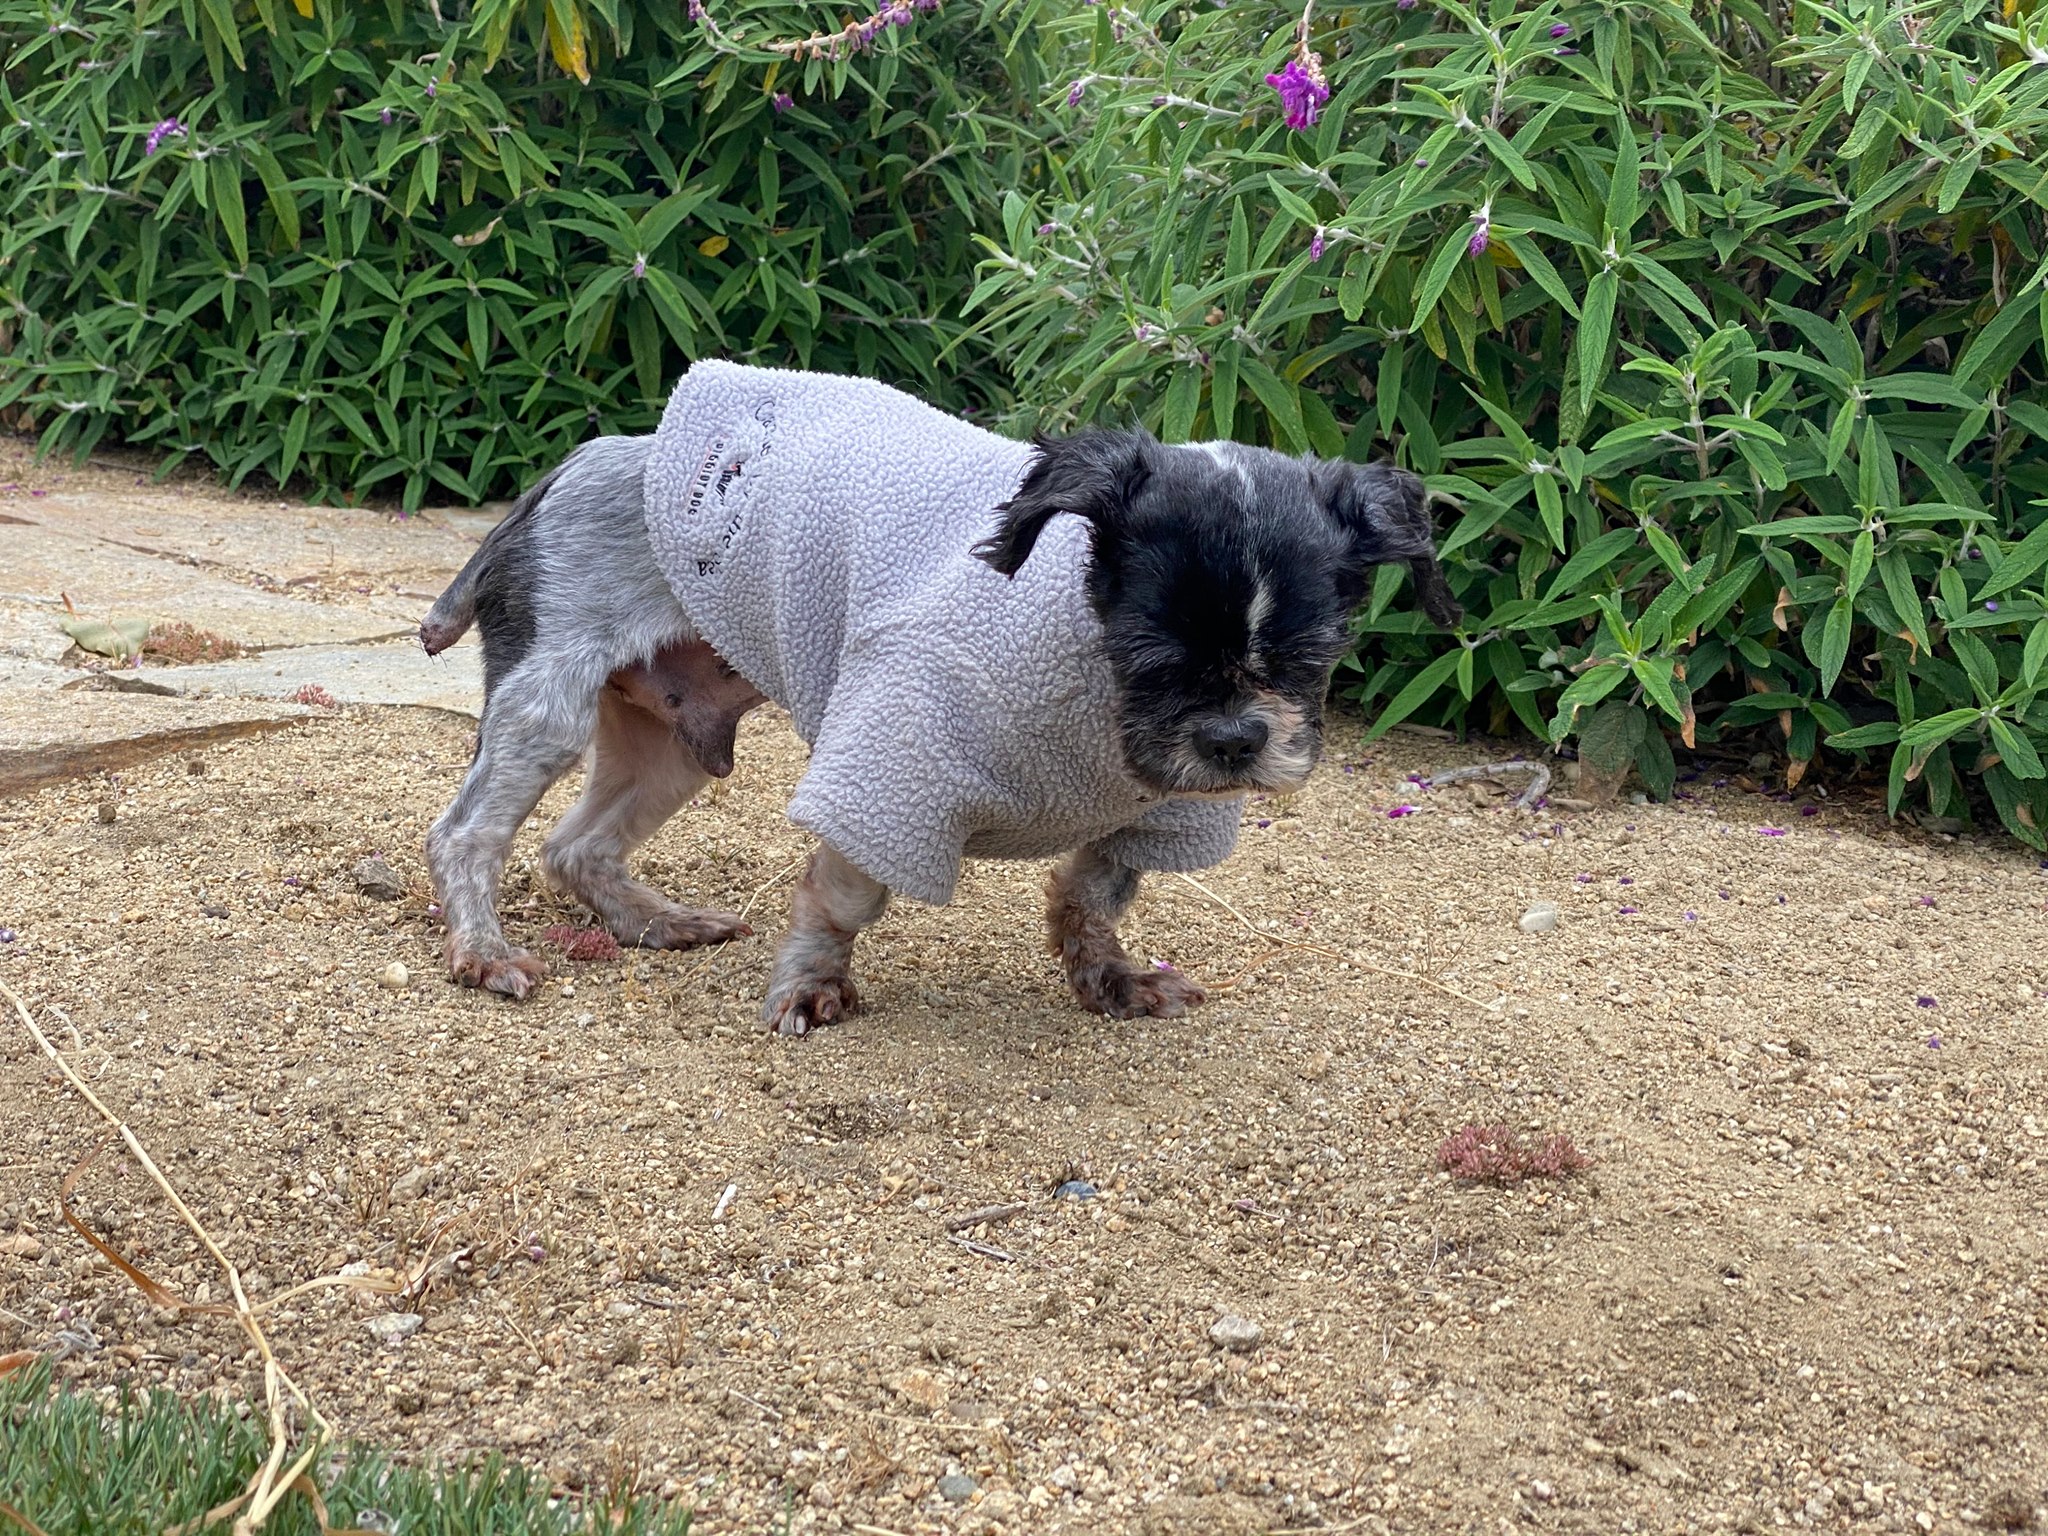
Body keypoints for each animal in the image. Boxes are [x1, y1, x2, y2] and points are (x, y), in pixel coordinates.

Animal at [419, 360, 1458, 1036]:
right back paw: (484, 953)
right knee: (464, 834)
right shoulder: (893, 767)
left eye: (1311, 656)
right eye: (1153, 652)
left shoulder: (1149, 812)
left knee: (576, 846)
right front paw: (811, 990)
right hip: (548, 701)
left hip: (672, 743)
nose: (1238, 741)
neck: (1099, 703)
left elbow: (1092, 895)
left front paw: (1111, 979)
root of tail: (571, 466)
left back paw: (654, 922)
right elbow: (843, 896)